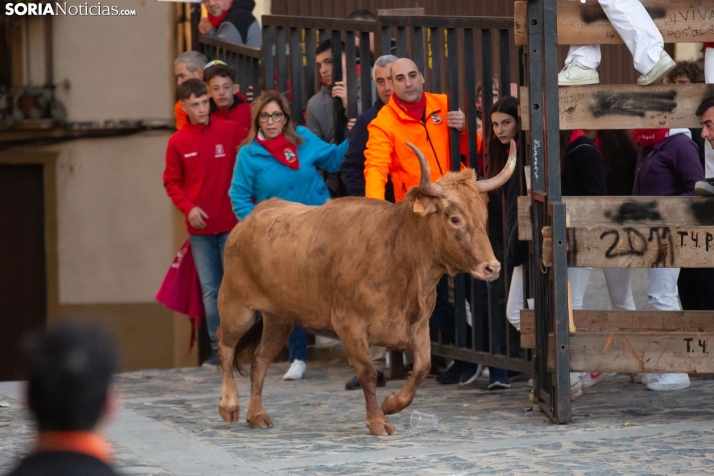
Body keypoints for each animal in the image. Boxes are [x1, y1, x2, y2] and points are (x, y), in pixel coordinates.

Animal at [214, 140, 516, 436]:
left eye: (483, 216)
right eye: (454, 218)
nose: (492, 267)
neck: (399, 255)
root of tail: (254, 215)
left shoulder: (419, 324)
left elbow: (422, 367)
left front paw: (392, 404)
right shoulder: (350, 325)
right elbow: (368, 374)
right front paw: (377, 421)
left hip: (280, 318)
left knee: (259, 361)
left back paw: (256, 415)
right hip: (236, 307)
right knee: (226, 346)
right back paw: (229, 405)